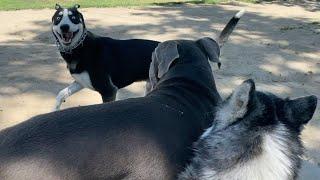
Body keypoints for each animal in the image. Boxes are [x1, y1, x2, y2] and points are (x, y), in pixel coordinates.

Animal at [0, 10, 242, 179]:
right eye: (58, 18)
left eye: (73, 17)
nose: (65, 26)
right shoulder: (84, 83)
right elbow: (61, 93)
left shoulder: (107, 90)